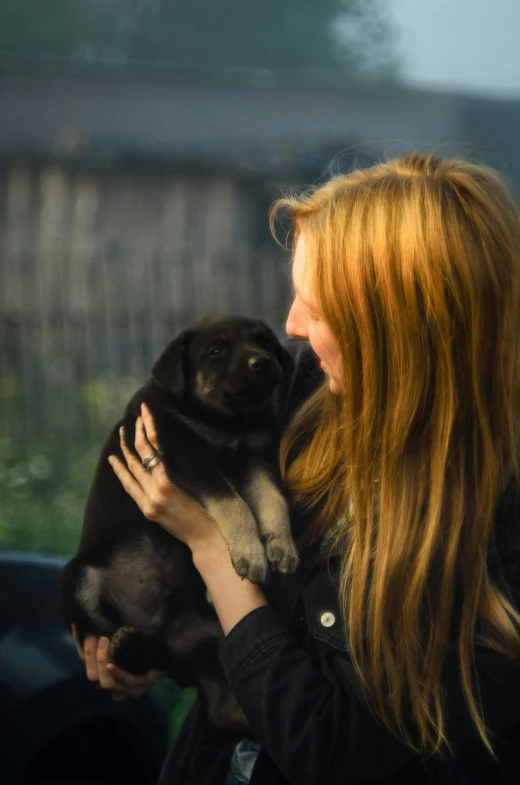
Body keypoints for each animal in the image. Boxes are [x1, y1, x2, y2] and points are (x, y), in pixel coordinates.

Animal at [61, 316, 296, 732]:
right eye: (216, 351)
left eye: (264, 342)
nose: (263, 362)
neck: (226, 420)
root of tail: (163, 631)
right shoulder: (185, 451)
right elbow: (233, 503)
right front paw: (251, 553)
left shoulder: (257, 454)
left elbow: (272, 500)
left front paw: (281, 547)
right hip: (78, 579)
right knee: (103, 635)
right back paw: (124, 642)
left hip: (216, 633)